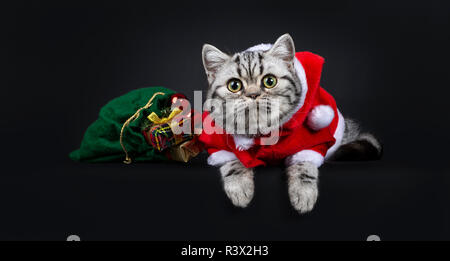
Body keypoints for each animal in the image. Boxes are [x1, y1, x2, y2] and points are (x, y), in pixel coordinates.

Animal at [199, 33, 382, 212]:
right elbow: (232, 161)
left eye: (269, 81)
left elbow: (304, 164)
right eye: (234, 85)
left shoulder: (311, 143)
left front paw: (304, 191)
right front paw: (239, 185)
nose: (253, 95)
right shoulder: (219, 145)